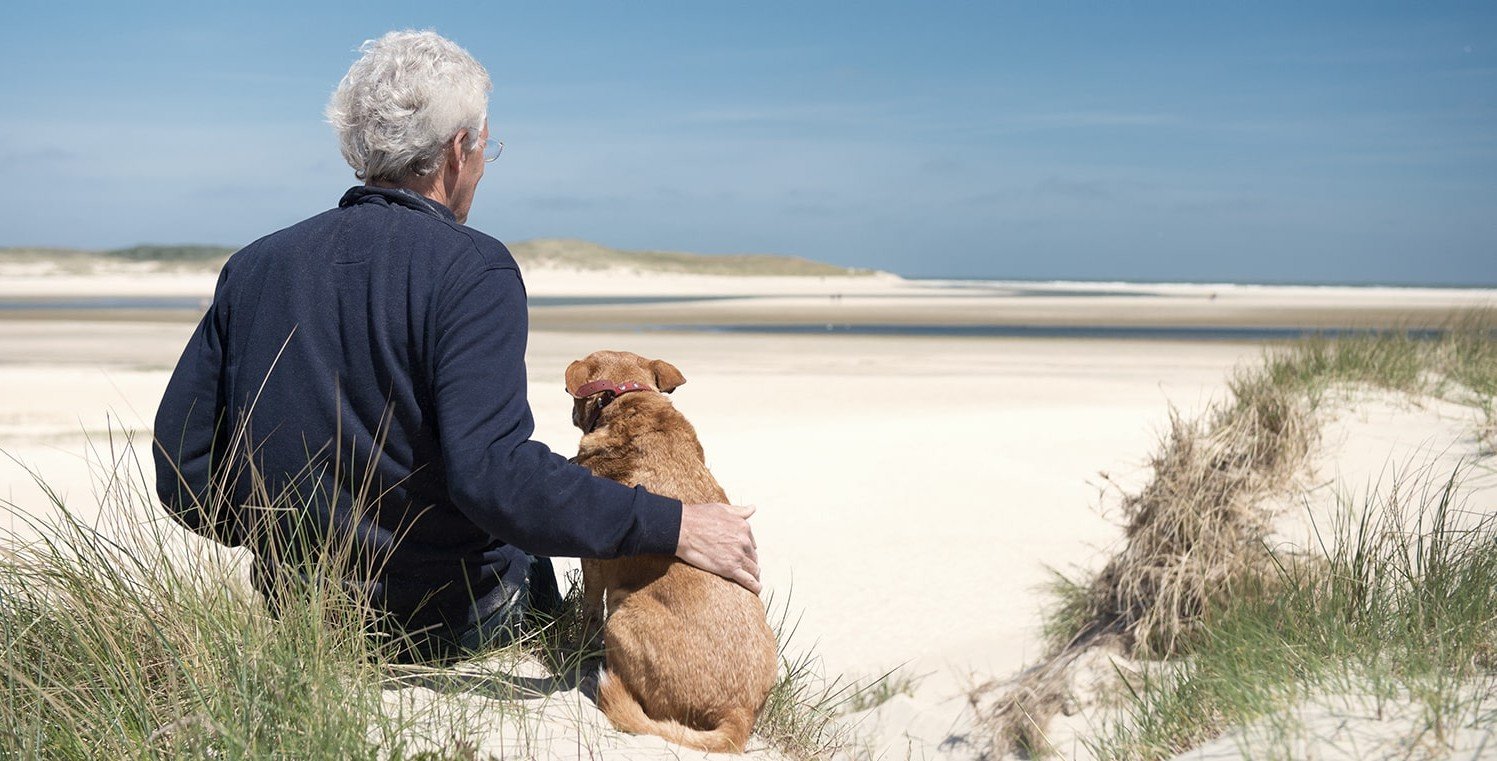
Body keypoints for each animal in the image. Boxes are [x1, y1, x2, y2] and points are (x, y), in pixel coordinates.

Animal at [562, 352, 778, 755]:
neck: (630, 399)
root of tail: (739, 714)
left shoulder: (594, 562)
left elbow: (589, 610)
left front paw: (579, 650)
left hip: (624, 614)